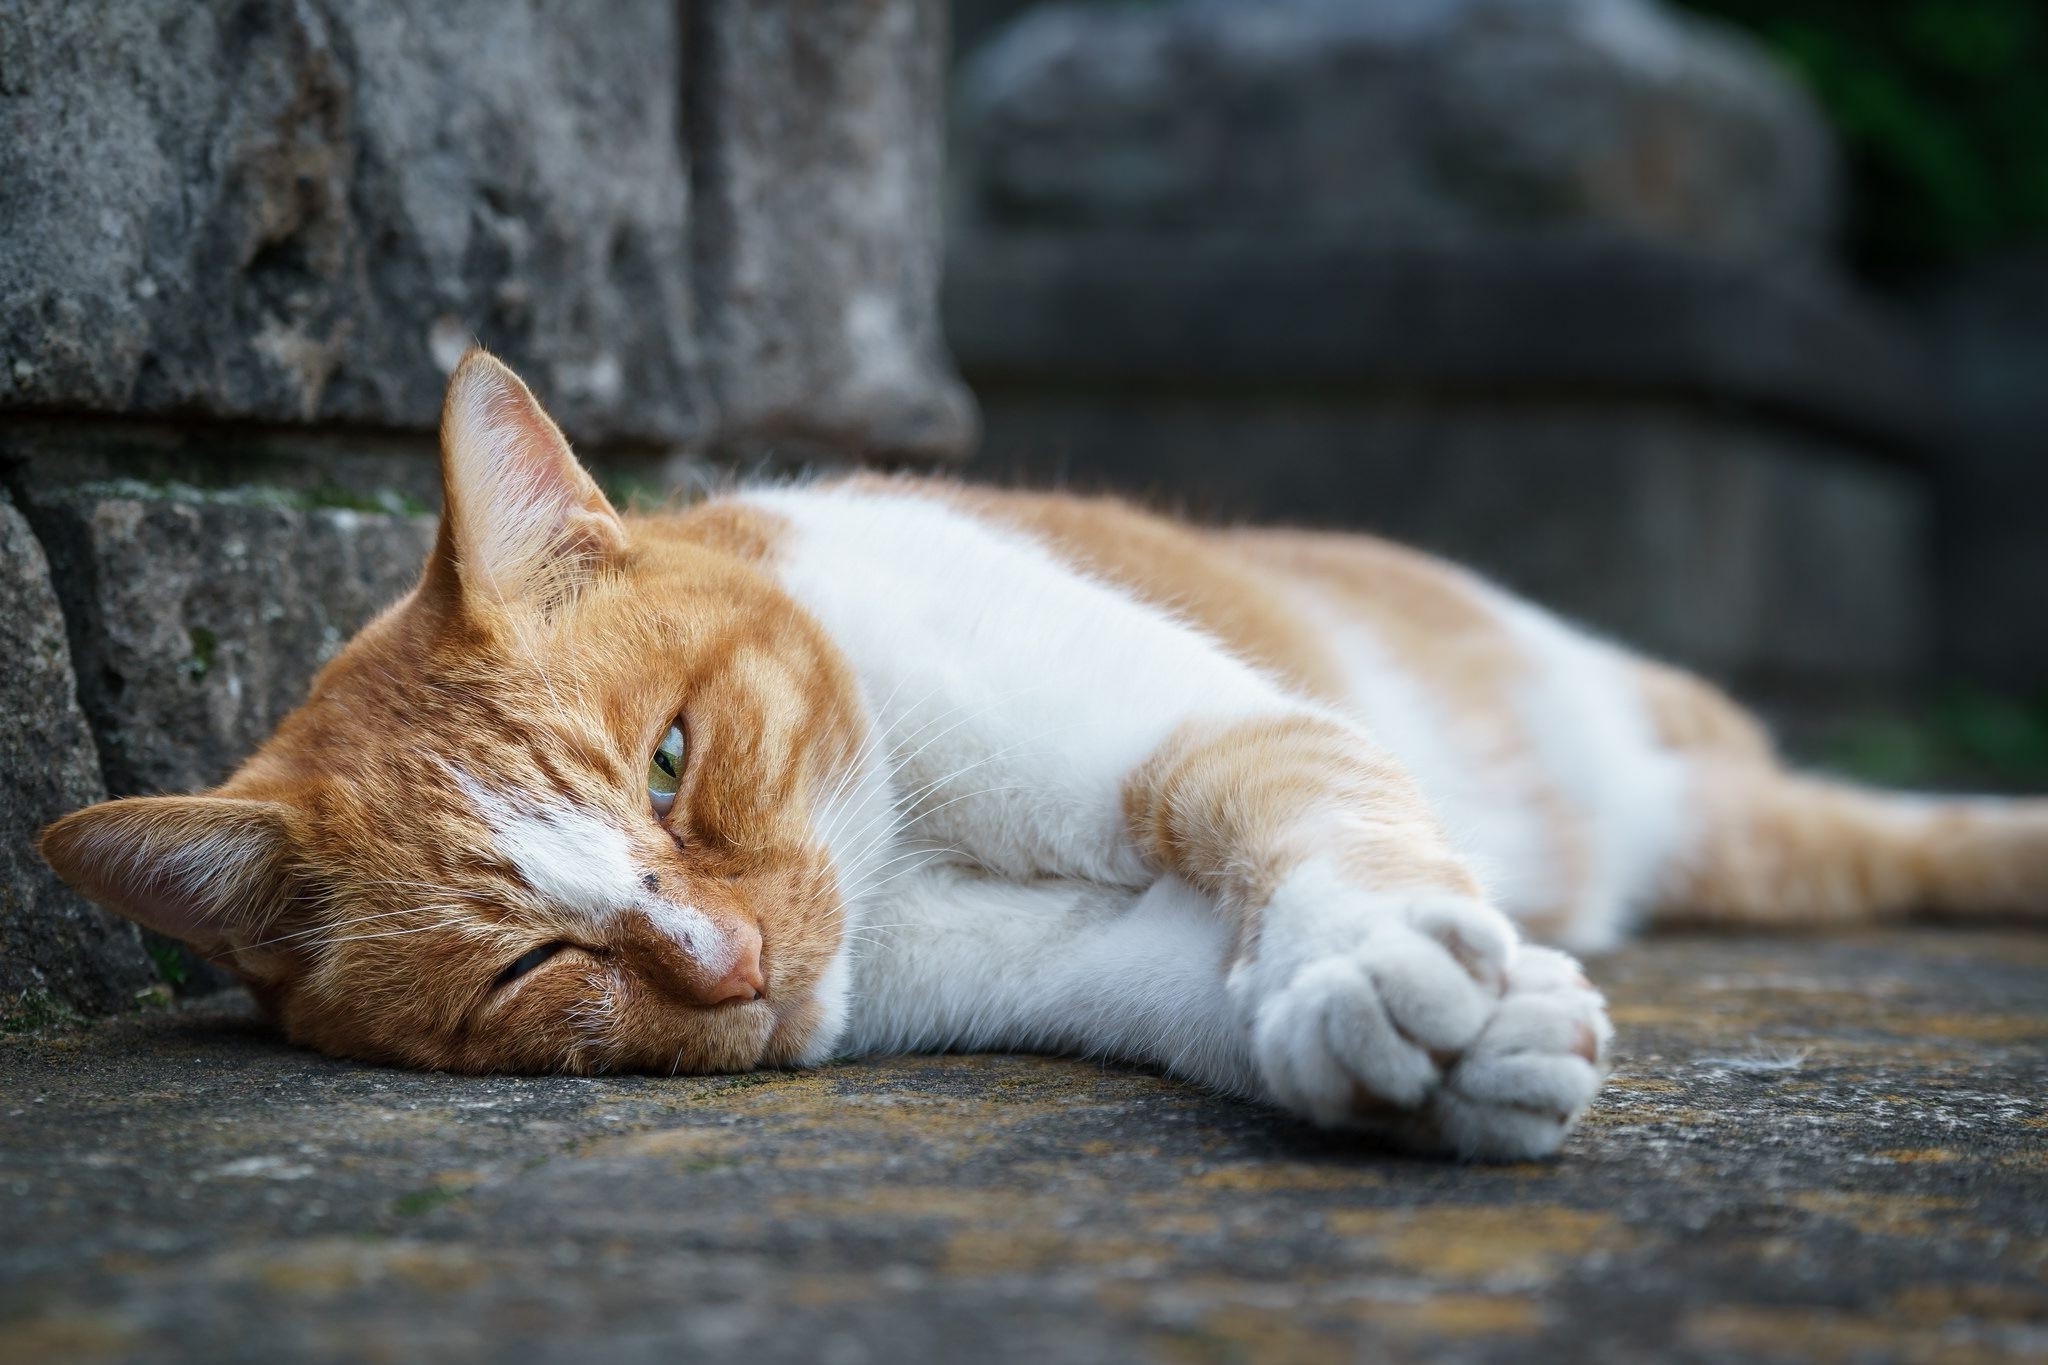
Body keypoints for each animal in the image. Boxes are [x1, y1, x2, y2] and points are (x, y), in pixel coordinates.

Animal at [36, 349, 2048, 1154]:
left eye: (672, 763)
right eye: (532, 963)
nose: (729, 960)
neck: (900, 850)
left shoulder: (1201, 729)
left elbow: (1307, 828)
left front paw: (1391, 967)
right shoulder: (1074, 961)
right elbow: (1221, 987)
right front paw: (1402, 1056)